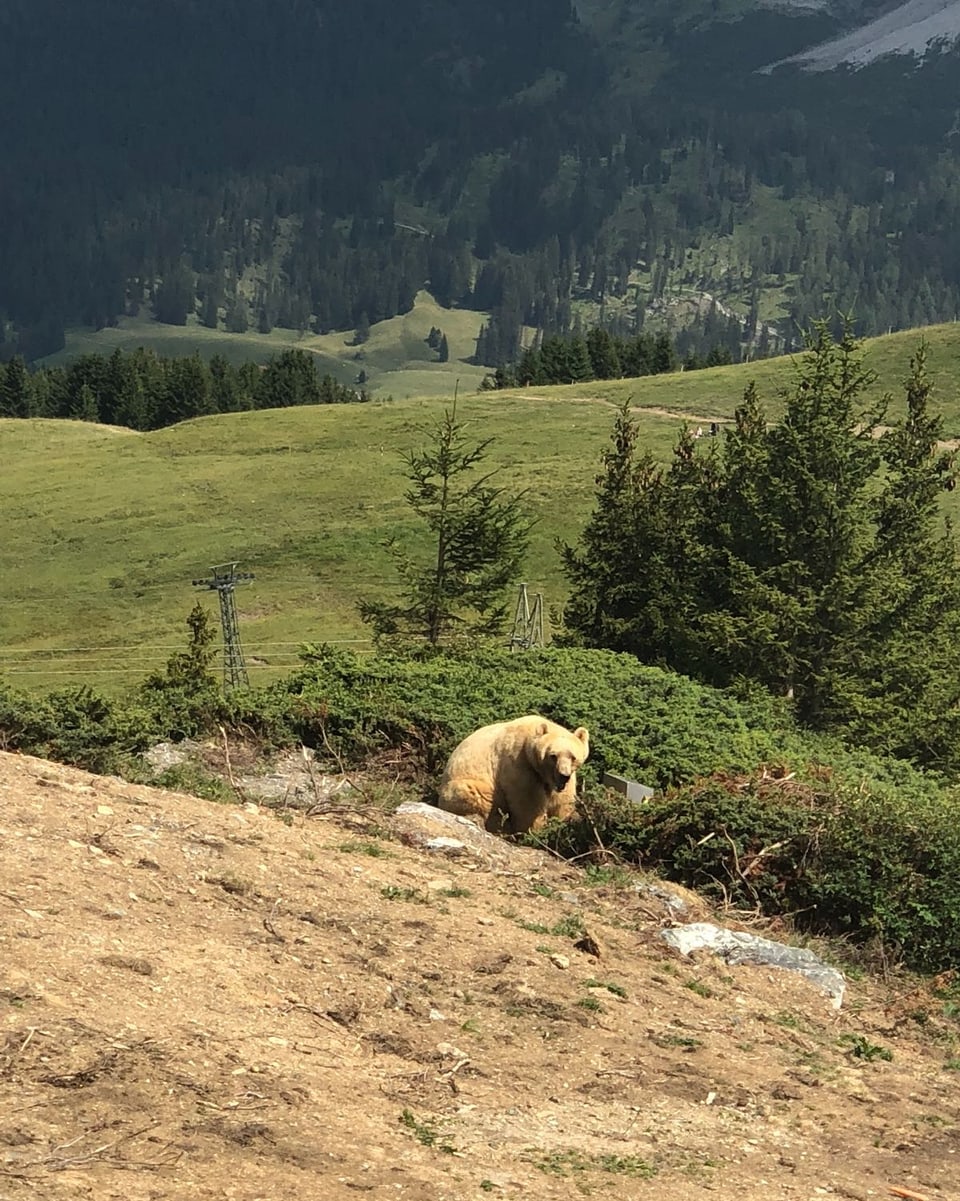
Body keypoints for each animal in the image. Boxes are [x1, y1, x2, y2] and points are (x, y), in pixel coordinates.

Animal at [439, 710, 588, 835]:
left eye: (573, 757)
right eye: (553, 756)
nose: (563, 775)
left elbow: (563, 799)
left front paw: (567, 822)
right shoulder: (518, 762)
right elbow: (527, 800)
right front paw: (534, 830)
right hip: (465, 784)